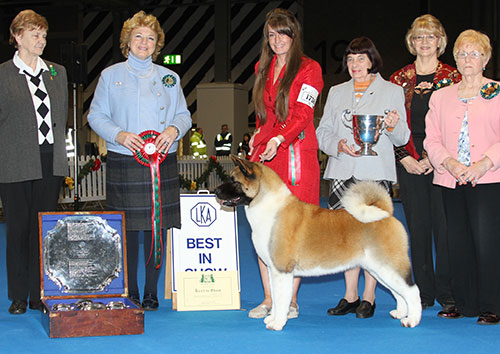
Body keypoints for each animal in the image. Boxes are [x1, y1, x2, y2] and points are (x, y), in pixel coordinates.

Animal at [215, 156, 422, 330]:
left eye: (234, 180)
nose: (216, 191)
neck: (268, 206)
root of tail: (386, 213)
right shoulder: (272, 270)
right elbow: (274, 297)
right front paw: (272, 318)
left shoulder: (282, 270)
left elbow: (281, 300)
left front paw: (277, 323)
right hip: (378, 269)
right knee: (399, 293)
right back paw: (400, 313)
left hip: (389, 265)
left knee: (412, 291)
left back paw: (412, 320)